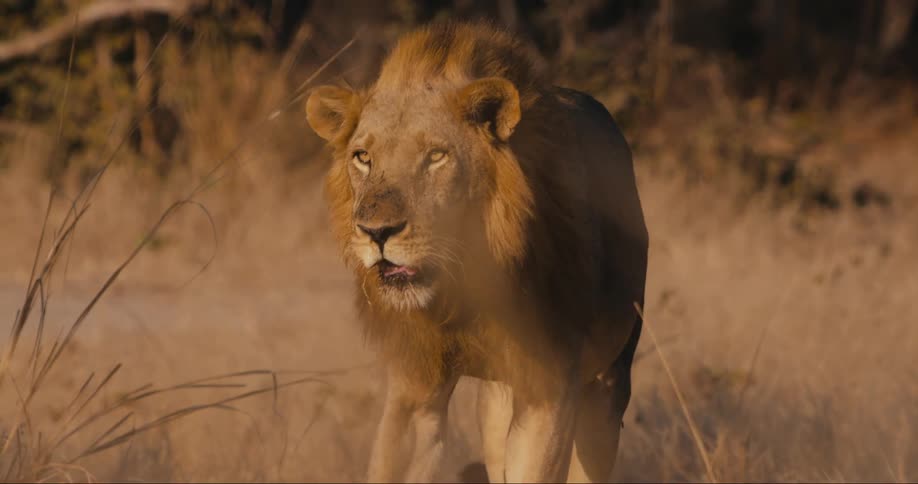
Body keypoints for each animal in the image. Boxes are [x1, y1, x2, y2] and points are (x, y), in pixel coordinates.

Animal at [305, 22, 648, 483]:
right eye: (363, 157)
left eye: (436, 156)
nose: (377, 232)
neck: (462, 284)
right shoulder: (415, 381)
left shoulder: (552, 387)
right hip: (497, 395)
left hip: (608, 384)